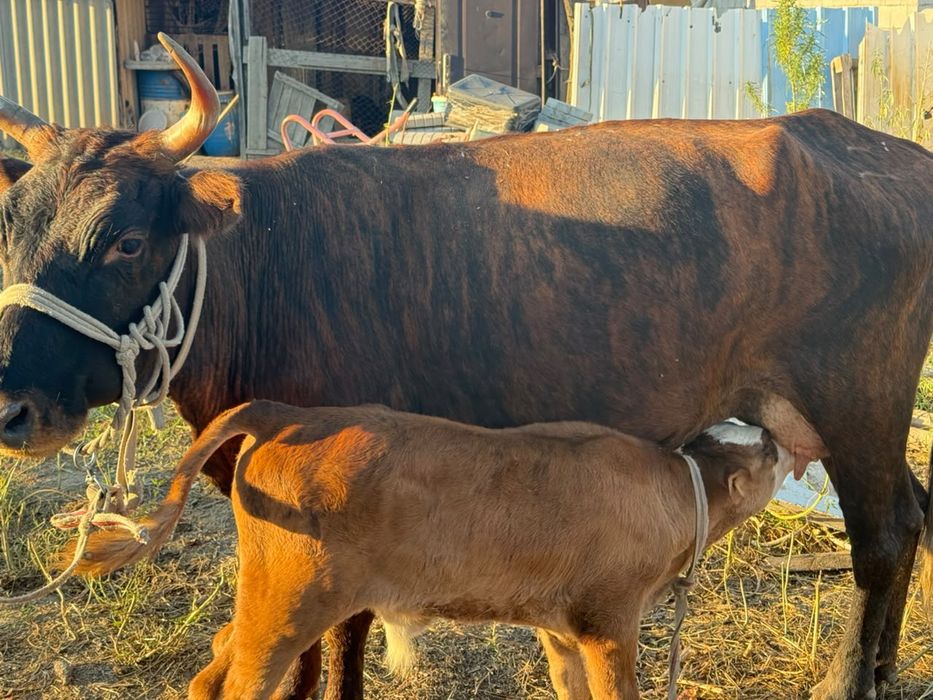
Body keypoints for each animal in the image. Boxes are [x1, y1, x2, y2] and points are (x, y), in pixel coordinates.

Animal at [72, 400, 800, 700]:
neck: (676, 485)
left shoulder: (563, 625)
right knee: (237, 680)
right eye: (764, 453)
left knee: (216, 662)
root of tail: (293, 412)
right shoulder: (609, 619)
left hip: (270, 594)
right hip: (292, 599)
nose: (777, 436)